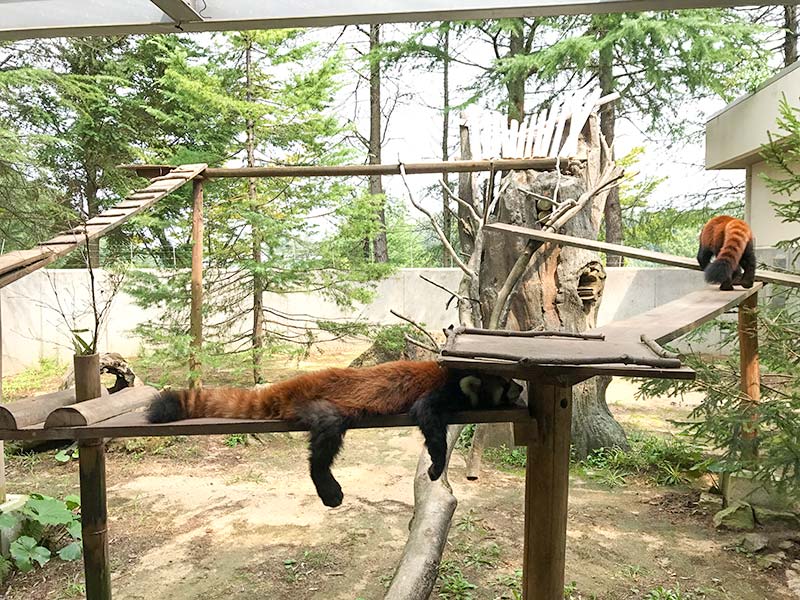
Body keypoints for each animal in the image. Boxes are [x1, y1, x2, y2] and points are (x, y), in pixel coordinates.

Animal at [148, 360, 524, 506]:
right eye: (506, 385)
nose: (521, 387)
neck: (456, 375)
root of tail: (292, 384)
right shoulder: (438, 393)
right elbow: (428, 418)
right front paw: (435, 464)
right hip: (318, 406)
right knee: (325, 440)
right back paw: (327, 486)